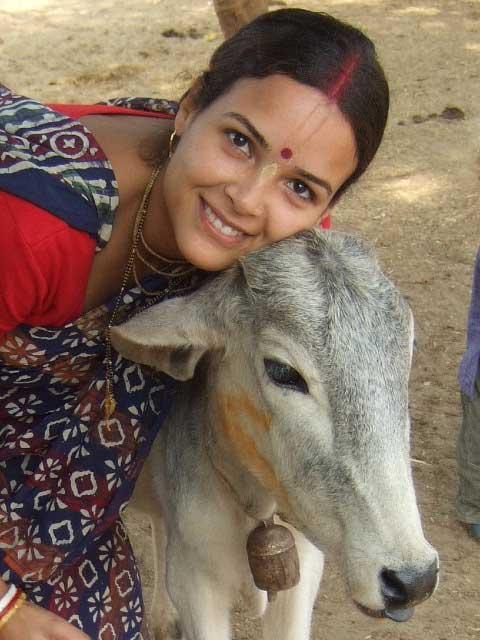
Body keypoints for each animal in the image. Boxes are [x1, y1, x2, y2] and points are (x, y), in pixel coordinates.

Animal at [112, 230, 439, 640]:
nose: (413, 579)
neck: (255, 505)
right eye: (282, 371)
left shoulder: (303, 573)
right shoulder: (196, 584)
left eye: (410, 347)